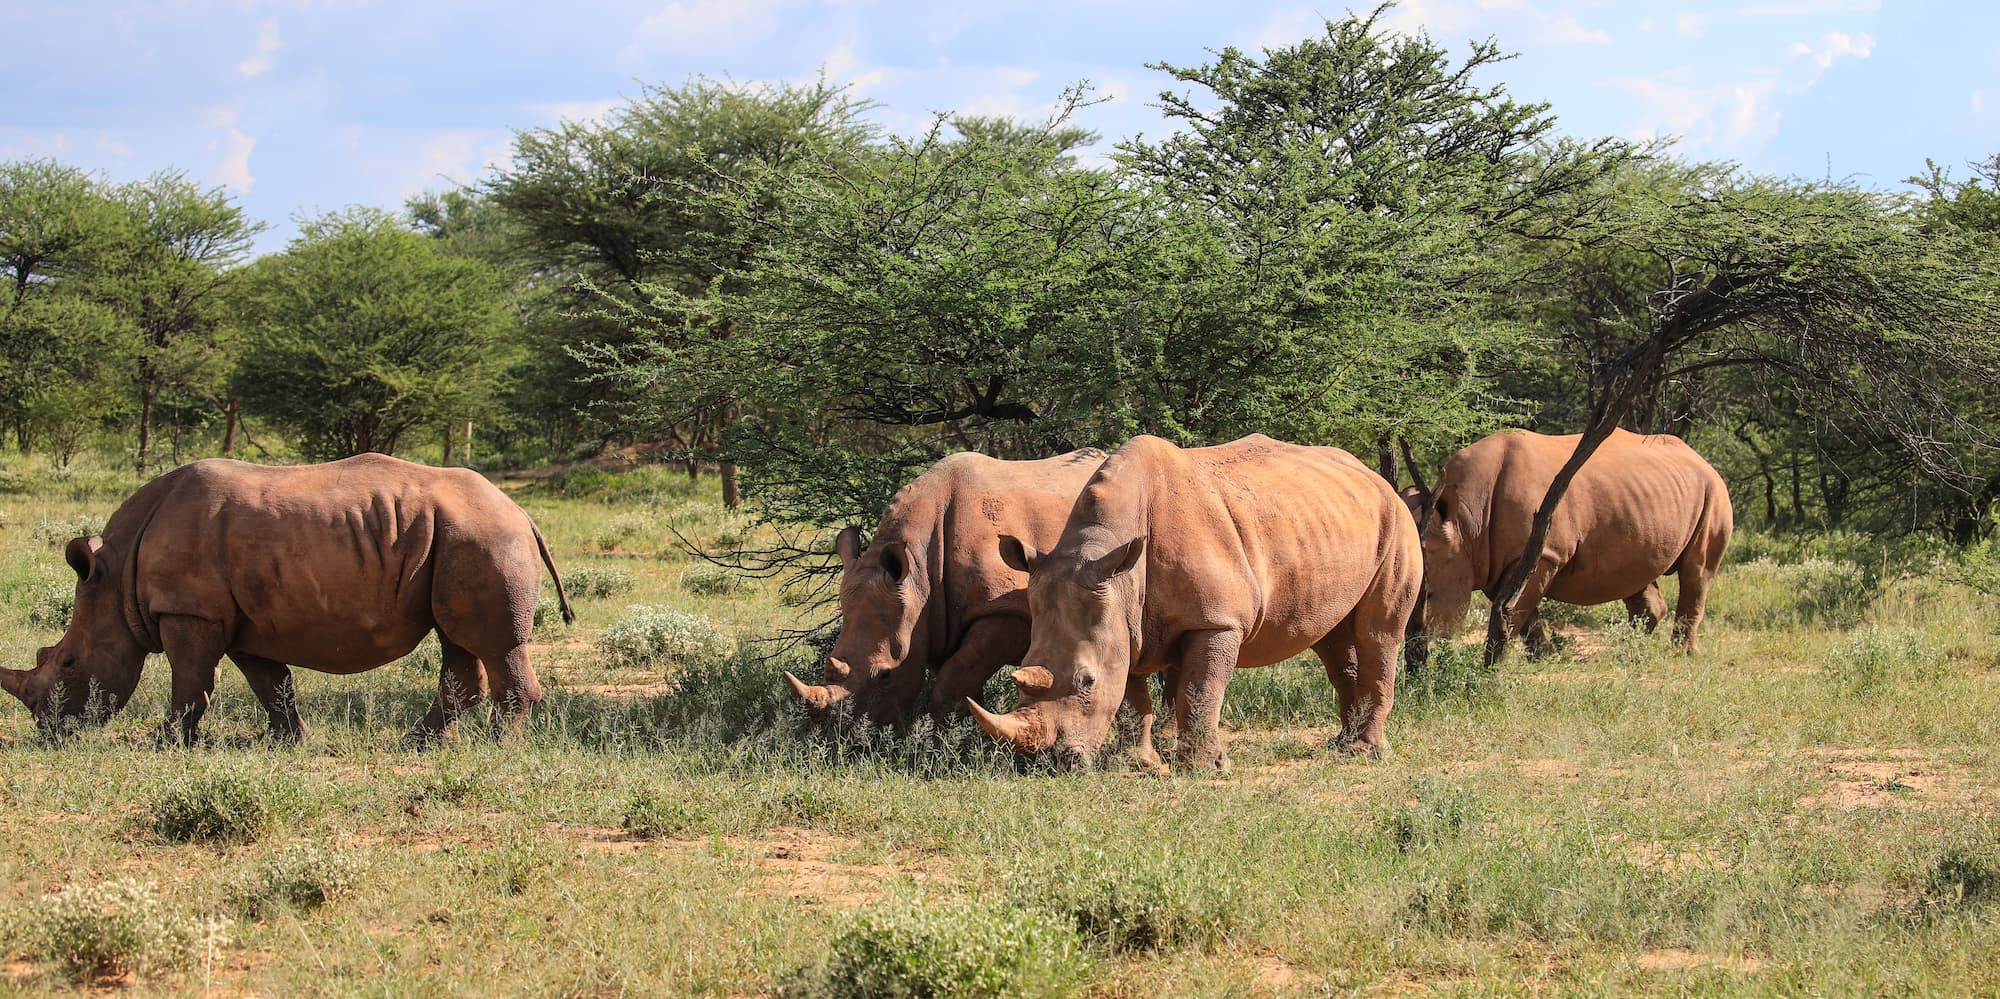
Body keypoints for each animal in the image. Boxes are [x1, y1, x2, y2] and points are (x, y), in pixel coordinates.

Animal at [2, 454, 575, 745]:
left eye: (68, 662)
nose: (51, 731)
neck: (116, 580)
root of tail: (521, 512)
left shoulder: (189, 610)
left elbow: (190, 680)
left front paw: (161, 742)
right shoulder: (239, 620)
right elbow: (269, 682)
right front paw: (287, 740)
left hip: (481, 537)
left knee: (490, 644)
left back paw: (494, 747)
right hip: (457, 538)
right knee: (457, 640)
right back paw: (419, 742)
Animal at [784, 449, 1115, 727]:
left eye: (886, 676)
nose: (842, 735)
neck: (920, 571)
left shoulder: (1005, 610)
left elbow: (954, 677)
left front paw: (942, 738)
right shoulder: (934, 618)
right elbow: (960, 676)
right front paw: (961, 728)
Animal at [967, 434, 1422, 770]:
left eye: (1087, 682)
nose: (1050, 761)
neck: (1112, 560)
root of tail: (1373, 476)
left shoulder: (1217, 620)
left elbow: (1202, 687)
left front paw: (1204, 767)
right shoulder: (1123, 617)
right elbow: (1130, 694)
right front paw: (1139, 765)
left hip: (1398, 521)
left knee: (1378, 633)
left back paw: (1367, 752)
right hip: (1324, 523)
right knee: (1331, 636)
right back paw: (1342, 746)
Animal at [1414, 428, 1733, 656]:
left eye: (1430, 595)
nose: (1418, 647)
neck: (1467, 523)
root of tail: (1702, 459)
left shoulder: (1541, 554)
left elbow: (1517, 608)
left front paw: (1515, 655)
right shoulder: (1492, 561)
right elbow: (1517, 609)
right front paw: (1543, 655)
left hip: (1714, 491)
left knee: (1696, 572)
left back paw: (1681, 654)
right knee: (1636, 572)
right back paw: (1629, 647)